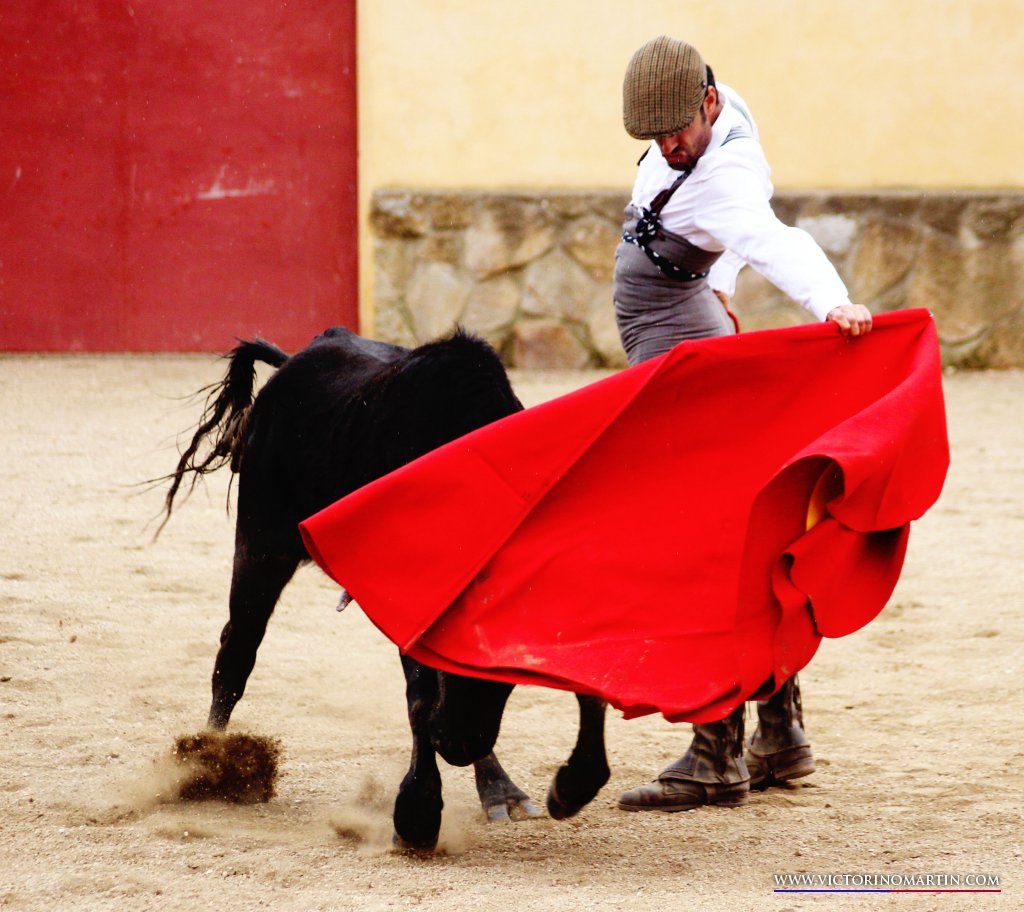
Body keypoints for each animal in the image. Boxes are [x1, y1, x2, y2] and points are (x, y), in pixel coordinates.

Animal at [160, 326, 610, 850]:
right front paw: (416, 815)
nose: (456, 744)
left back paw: (500, 790)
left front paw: (570, 785)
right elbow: (419, 693)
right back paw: (209, 764)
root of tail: (294, 361)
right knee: (237, 650)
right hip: (262, 541)